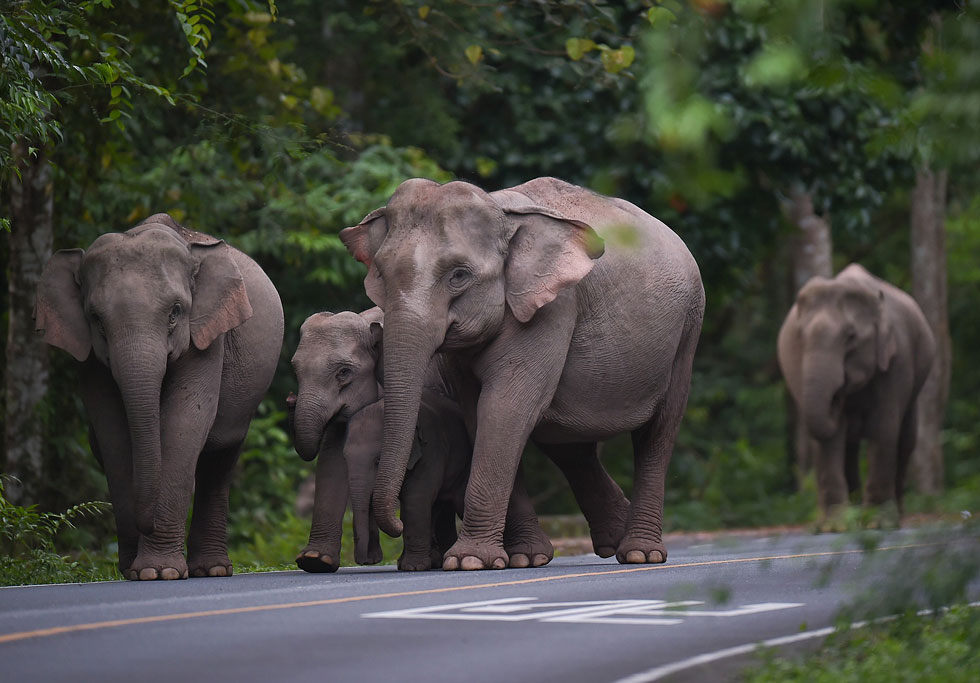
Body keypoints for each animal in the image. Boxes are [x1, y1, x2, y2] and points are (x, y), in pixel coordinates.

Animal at [338, 176, 704, 572]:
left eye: (459, 275)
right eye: (382, 274)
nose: (397, 524)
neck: (500, 209)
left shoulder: (554, 308)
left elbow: (505, 408)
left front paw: (468, 561)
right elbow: (480, 414)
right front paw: (525, 558)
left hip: (687, 331)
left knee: (658, 432)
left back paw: (640, 553)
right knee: (569, 445)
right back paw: (613, 541)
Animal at [776, 264, 936, 528]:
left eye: (851, 336)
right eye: (800, 336)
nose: (837, 396)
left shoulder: (897, 361)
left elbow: (884, 429)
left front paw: (878, 523)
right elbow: (830, 440)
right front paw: (833, 526)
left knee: (906, 439)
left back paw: (897, 514)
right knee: (848, 448)